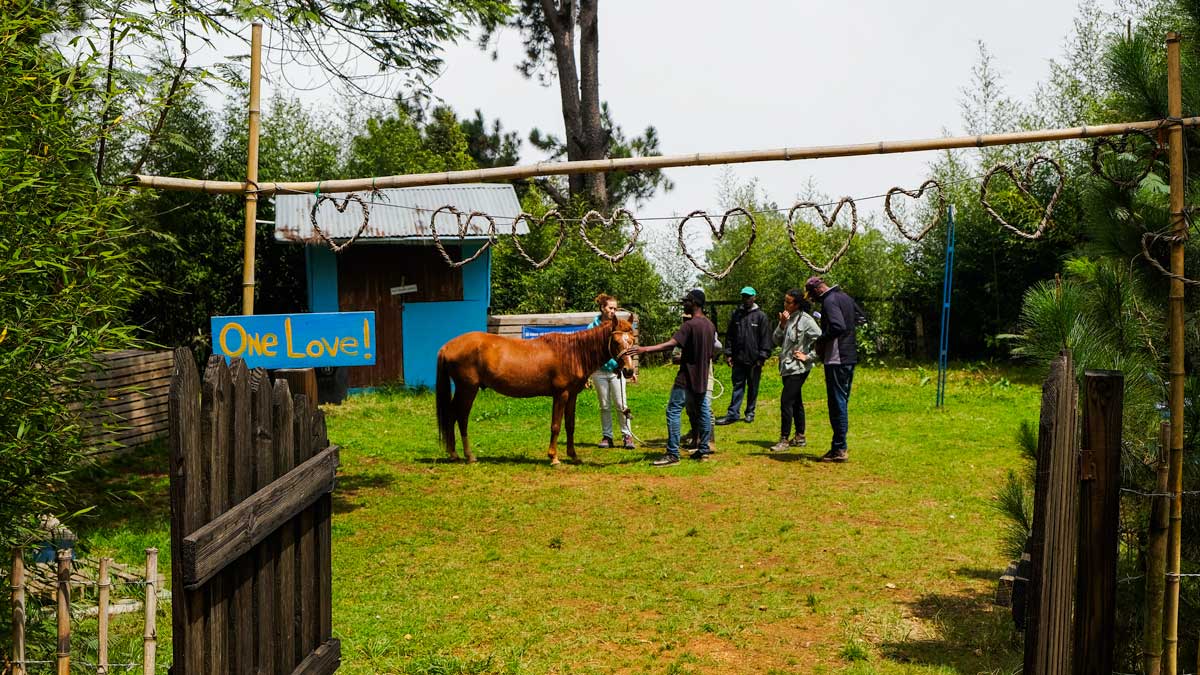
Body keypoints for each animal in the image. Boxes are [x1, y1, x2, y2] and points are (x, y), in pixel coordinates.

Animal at [434, 314, 638, 461]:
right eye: (616, 342)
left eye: (632, 341)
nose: (628, 370)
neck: (572, 352)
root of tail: (447, 347)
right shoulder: (561, 395)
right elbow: (556, 425)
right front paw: (553, 457)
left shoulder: (572, 396)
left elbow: (570, 425)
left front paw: (573, 456)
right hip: (467, 389)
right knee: (461, 417)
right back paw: (469, 456)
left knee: (451, 415)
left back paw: (454, 454)